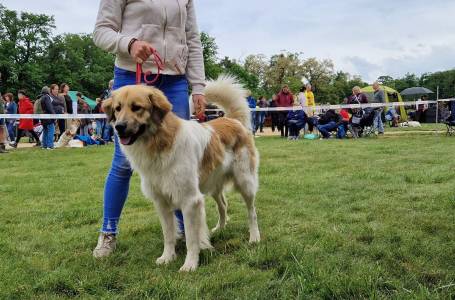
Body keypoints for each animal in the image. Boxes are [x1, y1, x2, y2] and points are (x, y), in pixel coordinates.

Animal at [103, 75, 260, 272]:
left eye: (136, 107)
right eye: (117, 108)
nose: (119, 127)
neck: (159, 142)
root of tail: (233, 120)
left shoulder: (190, 200)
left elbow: (191, 239)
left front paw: (190, 264)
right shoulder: (161, 202)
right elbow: (168, 234)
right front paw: (167, 257)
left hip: (245, 182)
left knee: (252, 212)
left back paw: (254, 237)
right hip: (213, 184)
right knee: (223, 205)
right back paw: (220, 228)